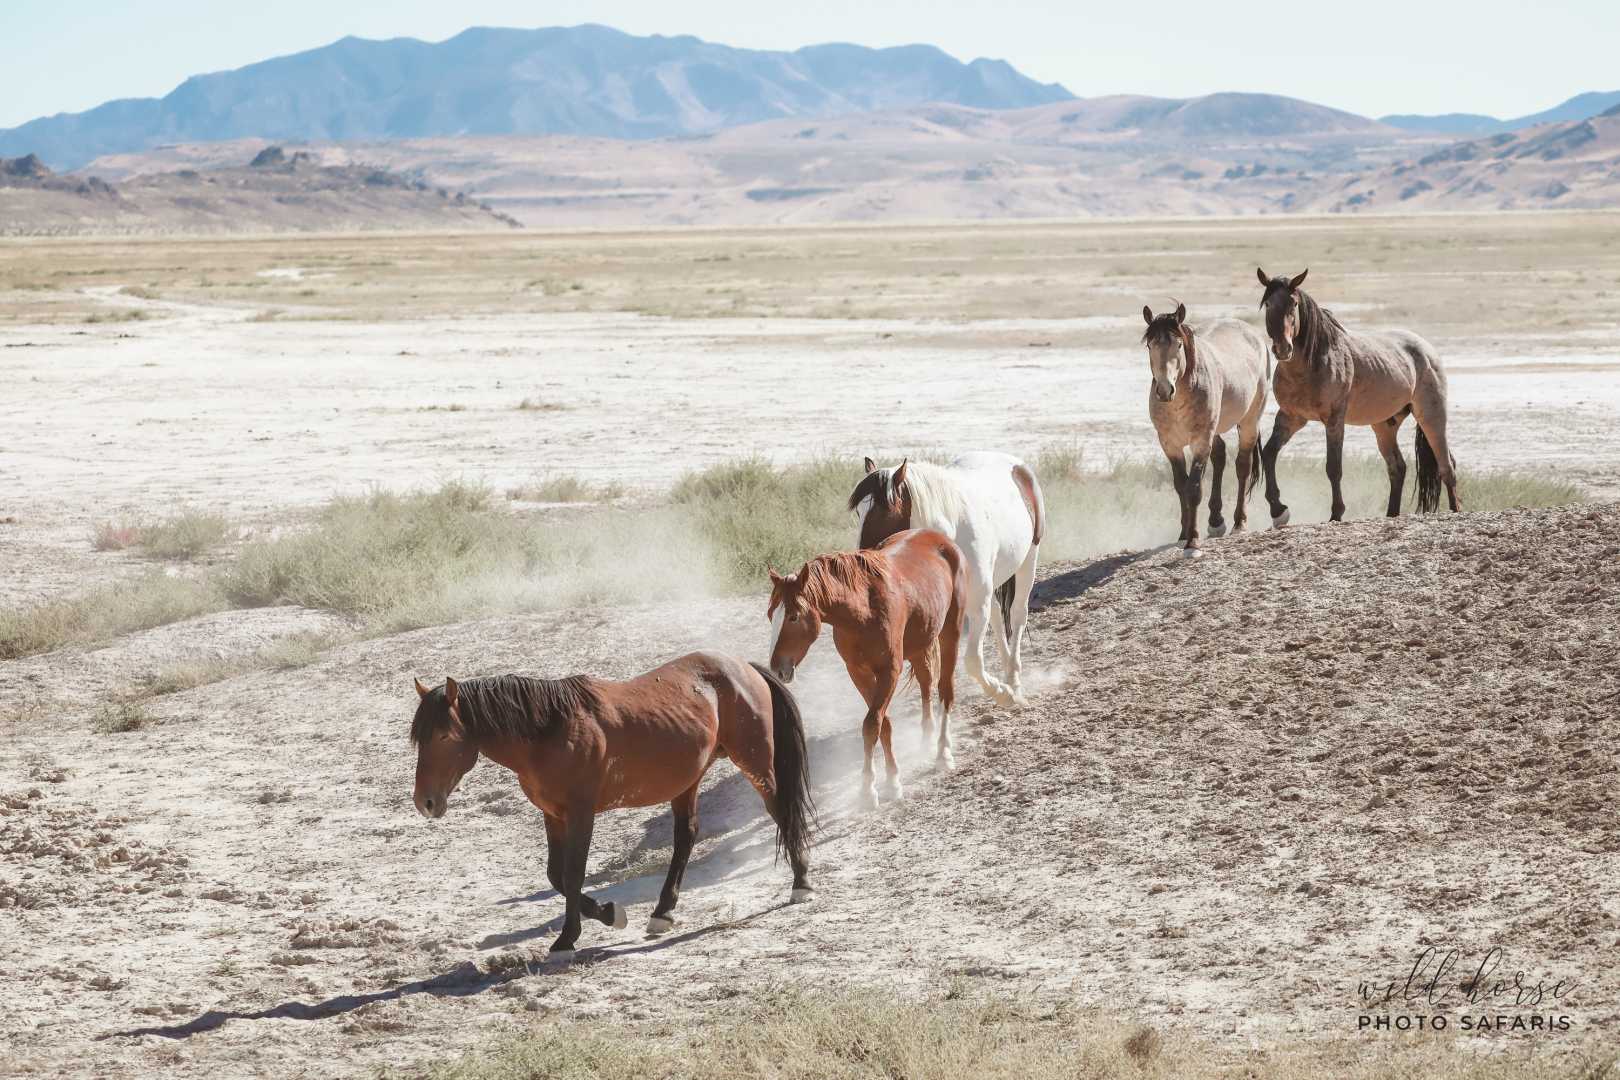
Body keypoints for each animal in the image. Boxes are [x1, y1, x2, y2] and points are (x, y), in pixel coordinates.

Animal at [405, 650, 810, 965]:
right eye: (419, 737)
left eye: (445, 735)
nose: (426, 802)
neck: (550, 730)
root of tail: (743, 667)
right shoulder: (553, 815)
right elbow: (555, 876)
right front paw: (609, 914)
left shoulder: (581, 814)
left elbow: (572, 874)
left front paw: (567, 938)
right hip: (687, 781)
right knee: (687, 836)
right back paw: (662, 913)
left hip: (755, 763)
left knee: (781, 812)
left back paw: (801, 884)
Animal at [767, 527, 965, 806]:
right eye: (769, 616)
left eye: (793, 617)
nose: (776, 669)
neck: (863, 610)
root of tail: (937, 537)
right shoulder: (858, 672)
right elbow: (883, 724)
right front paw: (891, 779)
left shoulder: (889, 671)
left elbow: (872, 724)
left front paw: (870, 788)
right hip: (920, 642)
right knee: (926, 684)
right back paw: (927, 738)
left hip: (951, 632)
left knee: (945, 690)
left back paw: (943, 752)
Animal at [842, 453, 1043, 705]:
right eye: (859, 512)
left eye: (883, 511)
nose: (861, 561)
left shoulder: (976, 605)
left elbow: (972, 661)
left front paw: (1003, 693)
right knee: (998, 615)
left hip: (1029, 560)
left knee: (1017, 615)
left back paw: (1014, 680)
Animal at [1146, 302, 1270, 557]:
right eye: (1149, 345)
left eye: (1178, 344)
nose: (1164, 390)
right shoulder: (1169, 444)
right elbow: (1180, 486)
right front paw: (1183, 534)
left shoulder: (1201, 441)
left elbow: (1193, 488)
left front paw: (1192, 543)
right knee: (1220, 457)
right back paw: (1216, 522)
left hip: (1249, 422)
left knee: (1243, 466)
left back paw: (1239, 523)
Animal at [1250, 268, 1458, 524]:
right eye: (1268, 303)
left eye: (1294, 303)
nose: (1283, 349)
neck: (1311, 365)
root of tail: (1427, 349)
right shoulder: (1291, 418)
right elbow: (1269, 453)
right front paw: (1278, 510)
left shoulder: (1334, 420)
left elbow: (1333, 467)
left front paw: (1336, 513)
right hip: (1384, 426)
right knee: (1397, 467)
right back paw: (1391, 514)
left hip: (1431, 415)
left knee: (1446, 465)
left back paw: (1456, 511)